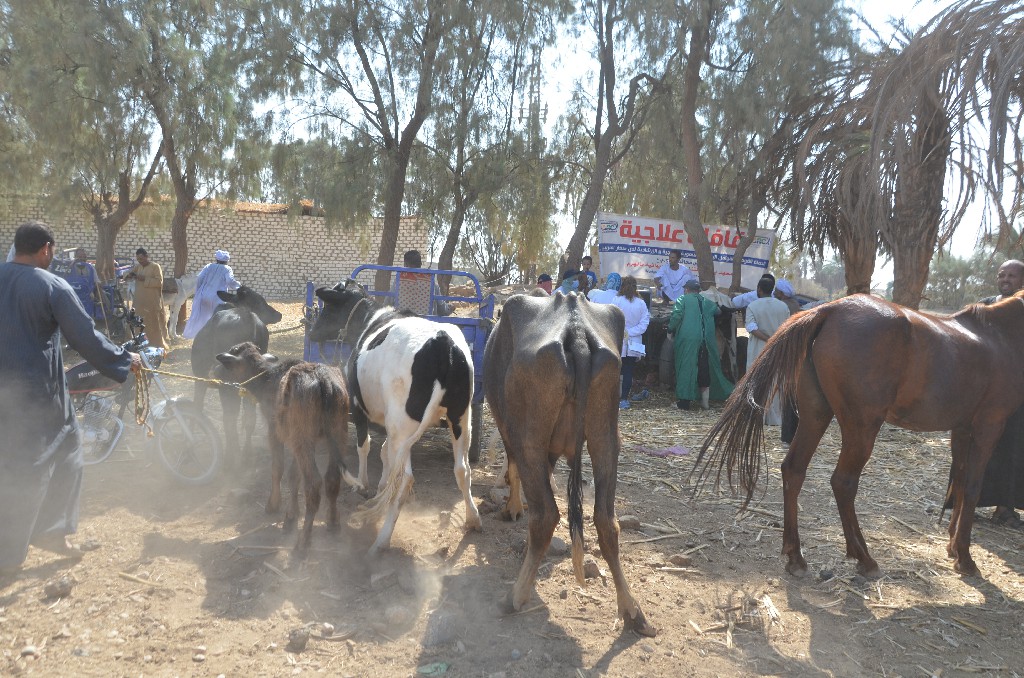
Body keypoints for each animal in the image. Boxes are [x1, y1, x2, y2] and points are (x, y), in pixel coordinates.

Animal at [214, 342, 362, 557]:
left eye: (230, 358)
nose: (215, 371)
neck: (265, 380)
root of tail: (324, 382)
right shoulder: (294, 438)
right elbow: (294, 475)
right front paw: (292, 515)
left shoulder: (274, 429)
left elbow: (278, 468)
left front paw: (273, 505)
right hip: (337, 430)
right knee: (332, 478)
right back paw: (333, 523)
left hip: (304, 436)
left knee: (314, 483)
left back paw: (303, 542)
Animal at [307, 280, 479, 557]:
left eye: (328, 307)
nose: (312, 333)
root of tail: (443, 343)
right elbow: (384, 453)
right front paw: (380, 488)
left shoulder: (359, 407)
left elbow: (365, 446)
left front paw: (363, 485)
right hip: (461, 417)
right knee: (462, 469)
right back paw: (473, 519)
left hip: (403, 425)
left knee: (405, 479)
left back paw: (382, 540)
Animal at [481, 290, 655, 639]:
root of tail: (574, 326)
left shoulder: (509, 431)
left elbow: (514, 471)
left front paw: (512, 508)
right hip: (606, 436)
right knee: (606, 522)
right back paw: (632, 611)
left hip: (529, 437)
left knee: (546, 515)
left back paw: (514, 597)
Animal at [692, 292, 1024, 577]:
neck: (999, 336)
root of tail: (830, 309)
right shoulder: (988, 426)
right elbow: (973, 487)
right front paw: (965, 558)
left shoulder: (963, 428)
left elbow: (959, 482)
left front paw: (954, 547)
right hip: (862, 427)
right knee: (843, 482)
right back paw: (863, 557)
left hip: (816, 416)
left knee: (794, 470)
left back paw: (796, 556)